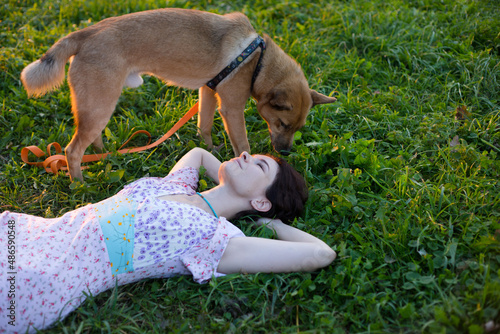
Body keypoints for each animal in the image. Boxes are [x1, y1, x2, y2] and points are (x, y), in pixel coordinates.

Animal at [22, 7, 336, 180]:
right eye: (281, 124)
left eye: (298, 128)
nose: (284, 152)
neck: (258, 59)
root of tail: (85, 34)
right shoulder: (232, 109)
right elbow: (243, 145)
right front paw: (247, 162)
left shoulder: (208, 92)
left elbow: (204, 125)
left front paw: (210, 149)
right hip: (100, 105)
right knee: (72, 150)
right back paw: (80, 184)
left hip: (98, 106)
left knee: (91, 139)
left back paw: (105, 155)